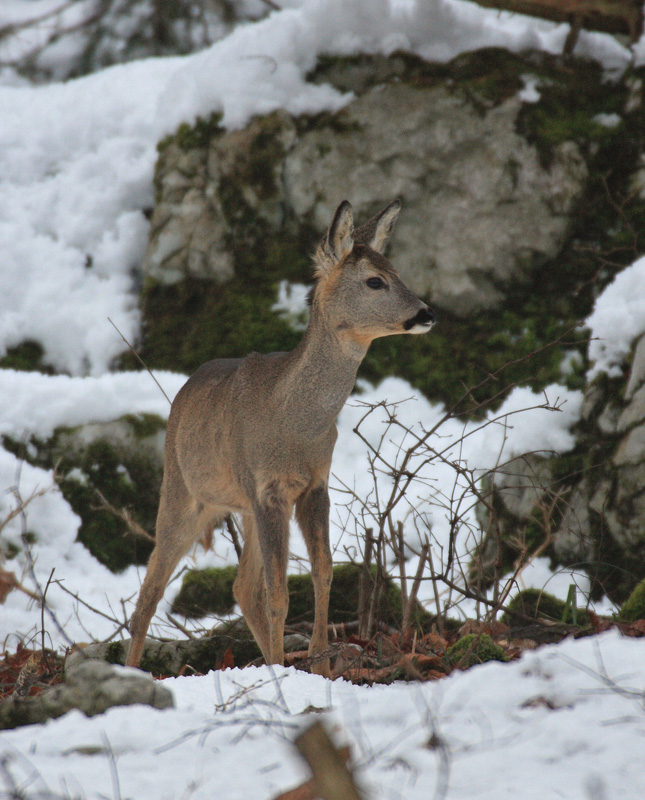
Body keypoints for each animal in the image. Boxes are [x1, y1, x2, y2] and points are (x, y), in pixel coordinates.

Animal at [126, 200, 436, 676]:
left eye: (397, 272)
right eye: (375, 280)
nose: (425, 313)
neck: (295, 423)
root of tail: (184, 391)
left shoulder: (314, 484)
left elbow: (322, 573)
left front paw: (321, 665)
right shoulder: (267, 488)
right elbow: (279, 590)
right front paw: (294, 667)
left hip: (242, 506)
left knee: (241, 585)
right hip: (182, 490)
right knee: (150, 589)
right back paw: (130, 670)